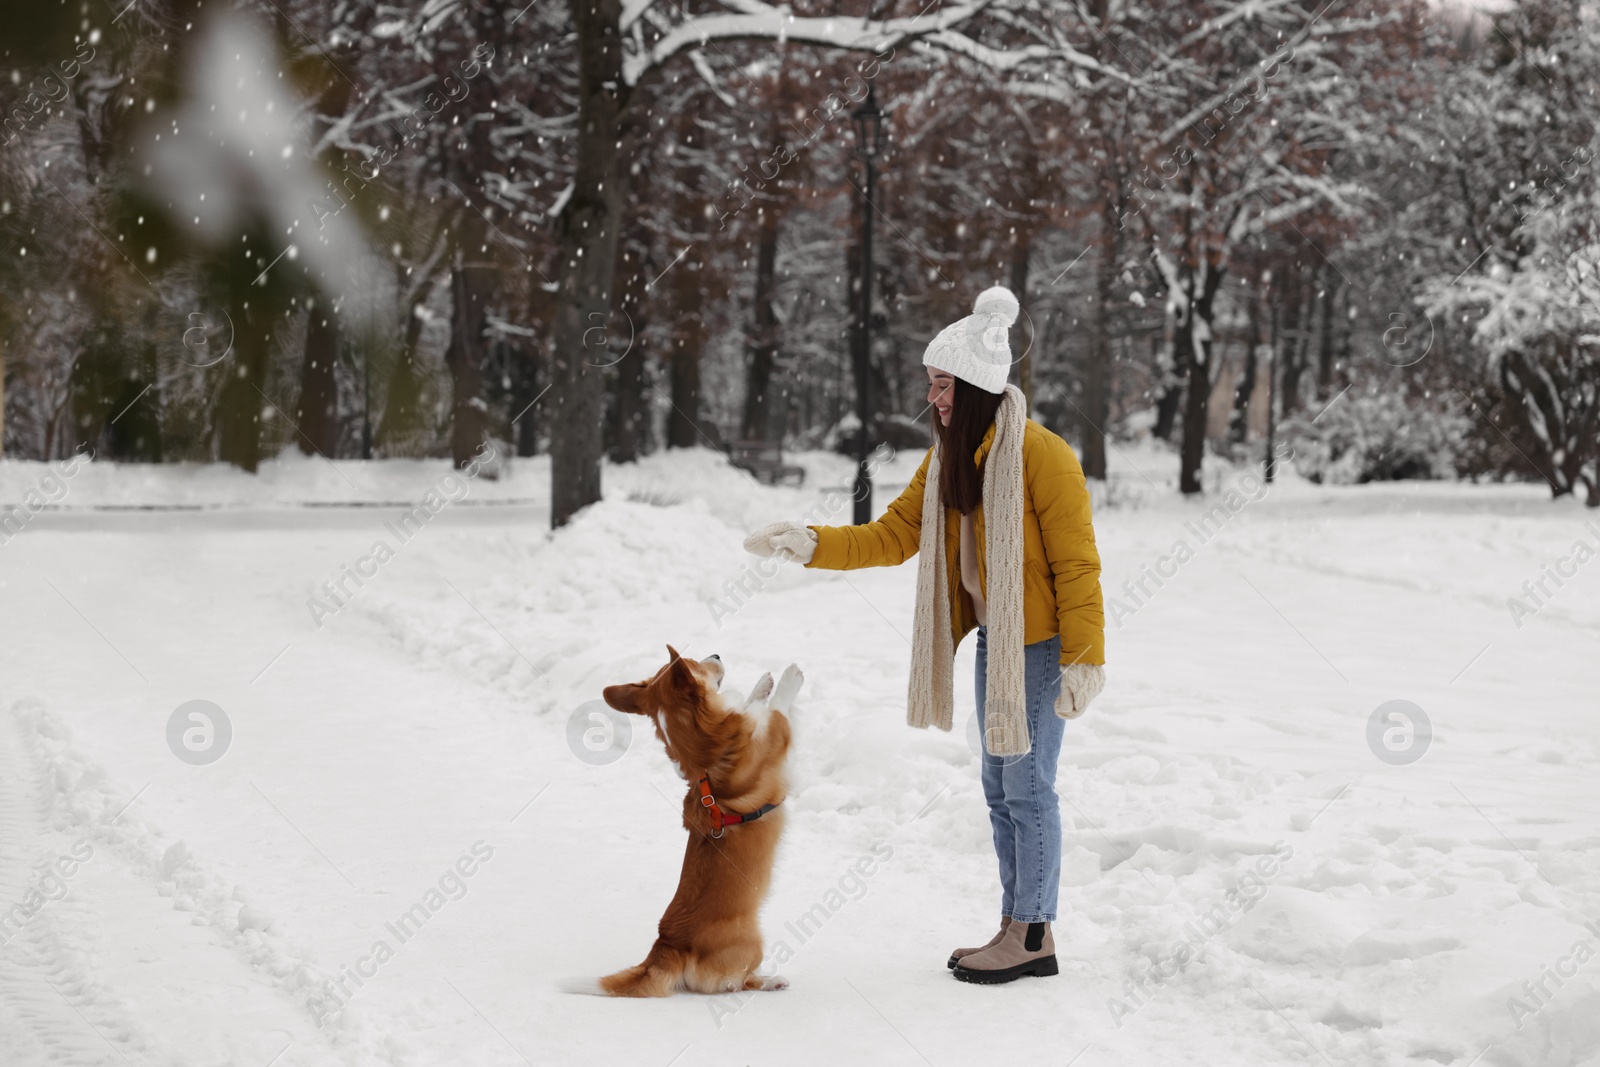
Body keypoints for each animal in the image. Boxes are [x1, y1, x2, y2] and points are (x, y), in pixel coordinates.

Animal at [595, 652, 800, 1004]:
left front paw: (763, 684)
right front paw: (789, 676)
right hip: (752, 945)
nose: (716, 654)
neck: (708, 761)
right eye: (696, 663)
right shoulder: (777, 730)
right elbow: (778, 706)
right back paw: (773, 981)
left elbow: (754, 705)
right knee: (738, 983)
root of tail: (668, 946)